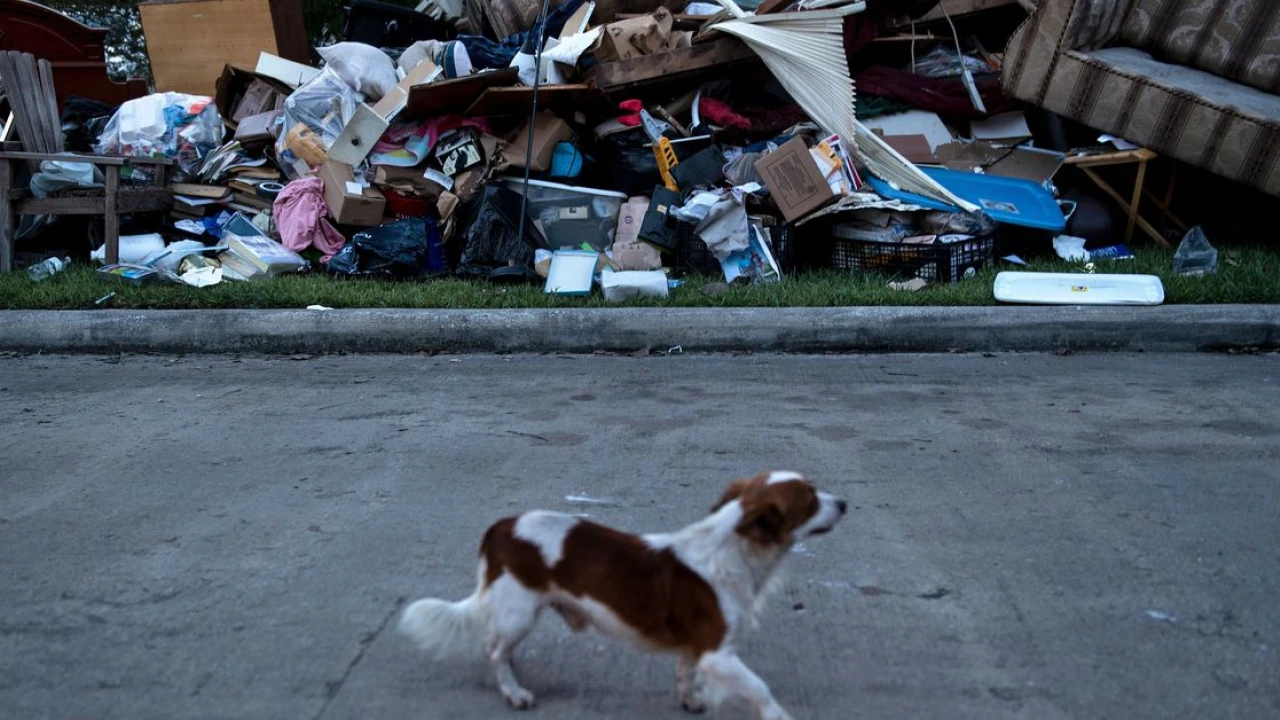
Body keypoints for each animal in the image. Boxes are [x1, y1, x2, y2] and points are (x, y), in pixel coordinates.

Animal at [394, 468, 844, 712]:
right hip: (518, 612)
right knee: (493, 650)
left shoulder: (695, 648)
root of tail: (501, 528)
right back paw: (515, 691)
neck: (735, 550)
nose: (844, 503)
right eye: (810, 499)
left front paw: (690, 702)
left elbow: (685, 674)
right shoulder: (718, 653)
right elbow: (760, 689)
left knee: (497, 647)